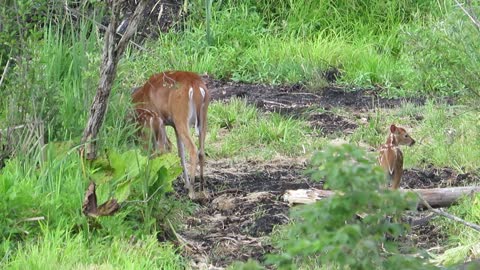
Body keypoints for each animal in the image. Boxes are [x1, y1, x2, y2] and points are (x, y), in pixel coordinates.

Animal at [131, 70, 208, 199]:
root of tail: (196, 85)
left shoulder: (158, 122)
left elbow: (162, 148)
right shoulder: (172, 125)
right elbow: (180, 152)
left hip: (180, 116)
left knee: (192, 149)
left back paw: (192, 192)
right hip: (202, 118)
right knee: (201, 151)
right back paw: (202, 190)